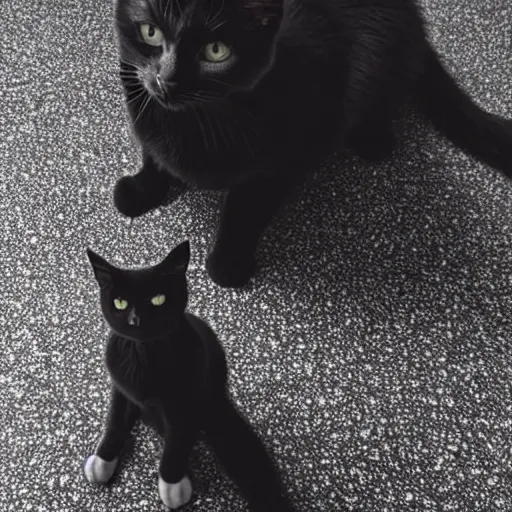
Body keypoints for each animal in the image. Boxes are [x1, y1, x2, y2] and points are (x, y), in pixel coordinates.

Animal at [83, 241, 292, 512]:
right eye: (119, 302)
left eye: (158, 299)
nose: (135, 319)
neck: (143, 354)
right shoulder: (120, 387)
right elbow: (116, 421)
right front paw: (103, 460)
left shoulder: (186, 400)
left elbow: (178, 440)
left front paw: (172, 486)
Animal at [113, 0, 512, 288]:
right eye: (150, 32)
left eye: (216, 51)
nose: (166, 80)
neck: (197, 117)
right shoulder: (140, 101)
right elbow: (152, 156)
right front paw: (141, 191)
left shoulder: (290, 154)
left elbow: (246, 210)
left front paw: (228, 263)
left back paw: (374, 137)